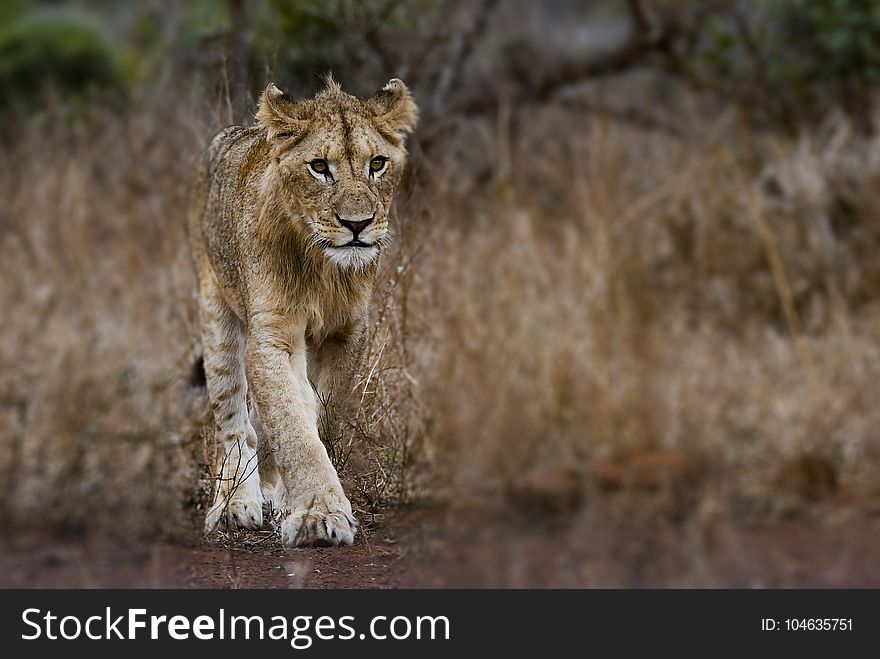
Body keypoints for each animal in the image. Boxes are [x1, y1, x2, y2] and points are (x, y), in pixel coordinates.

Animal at [186, 77, 420, 548]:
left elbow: (319, 415)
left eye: (377, 163)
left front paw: (298, 501)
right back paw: (234, 503)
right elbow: (292, 423)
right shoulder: (272, 333)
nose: (357, 225)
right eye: (319, 167)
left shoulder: (349, 332)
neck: (323, 269)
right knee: (234, 421)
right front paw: (317, 515)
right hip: (217, 314)